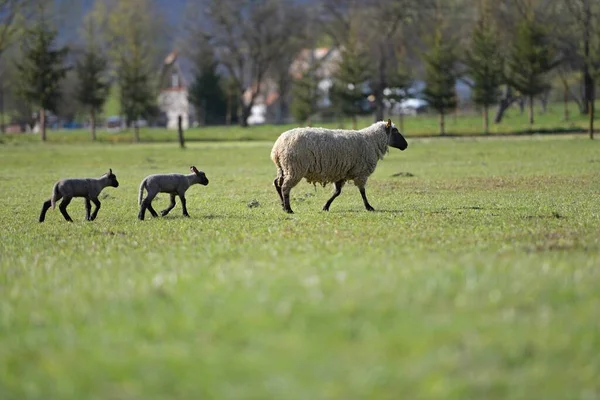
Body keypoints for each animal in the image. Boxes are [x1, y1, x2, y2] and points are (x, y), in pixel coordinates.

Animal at [270, 118, 408, 214]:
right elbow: (362, 191)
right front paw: (369, 207)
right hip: (295, 168)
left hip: (283, 167)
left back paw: (283, 205)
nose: (406, 145)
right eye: (395, 131)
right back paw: (289, 209)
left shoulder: (342, 172)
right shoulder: (361, 172)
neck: (372, 141)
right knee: (285, 187)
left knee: (277, 183)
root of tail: (277, 147)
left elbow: (337, 192)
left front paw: (326, 206)